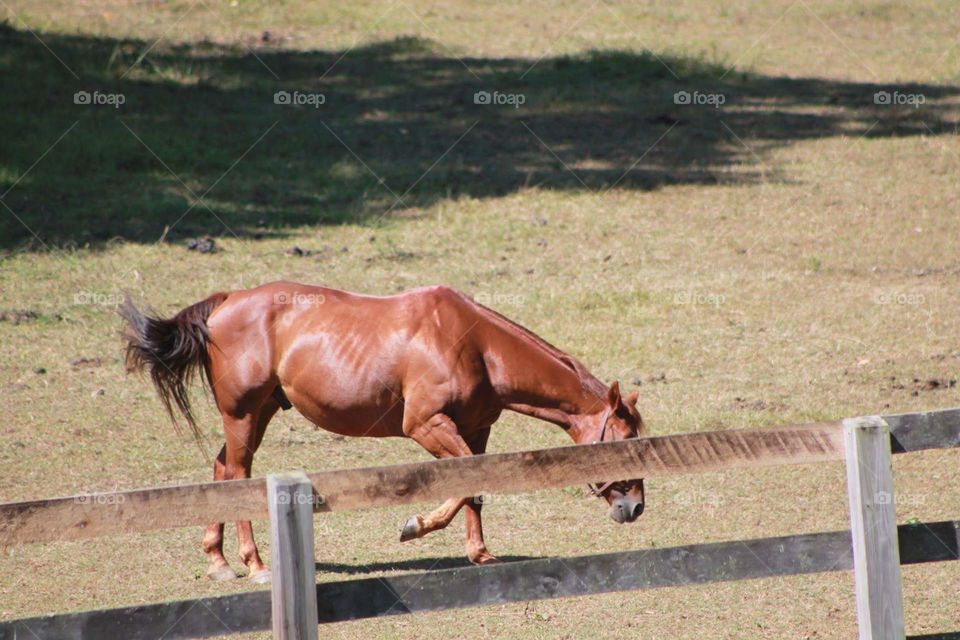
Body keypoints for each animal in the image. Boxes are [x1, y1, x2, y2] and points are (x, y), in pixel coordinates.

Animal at [120, 282, 646, 583]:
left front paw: (480, 554)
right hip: (244, 415)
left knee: (222, 469)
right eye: (624, 442)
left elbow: (476, 487)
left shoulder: (476, 430)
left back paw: (219, 560)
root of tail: (224, 304)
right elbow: (463, 484)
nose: (635, 507)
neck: (475, 344)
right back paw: (254, 565)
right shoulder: (427, 426)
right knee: (237, 474)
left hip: (259, 412)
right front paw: (415, 526)